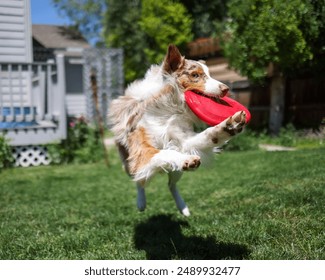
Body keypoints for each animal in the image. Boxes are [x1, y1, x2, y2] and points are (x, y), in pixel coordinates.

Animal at [109, 44, 246, 217]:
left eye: (209, 74)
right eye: (195, 75)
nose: (226, 89)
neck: (169, 107)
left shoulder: (183, 140)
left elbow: (208, 135)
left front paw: (229, 126)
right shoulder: (141, 148)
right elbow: (164, 153)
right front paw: (186, 159)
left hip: (176, 172)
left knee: (171, 185)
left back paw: (183, 207)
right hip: (129, 164)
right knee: (139, 179)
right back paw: (141, 202)